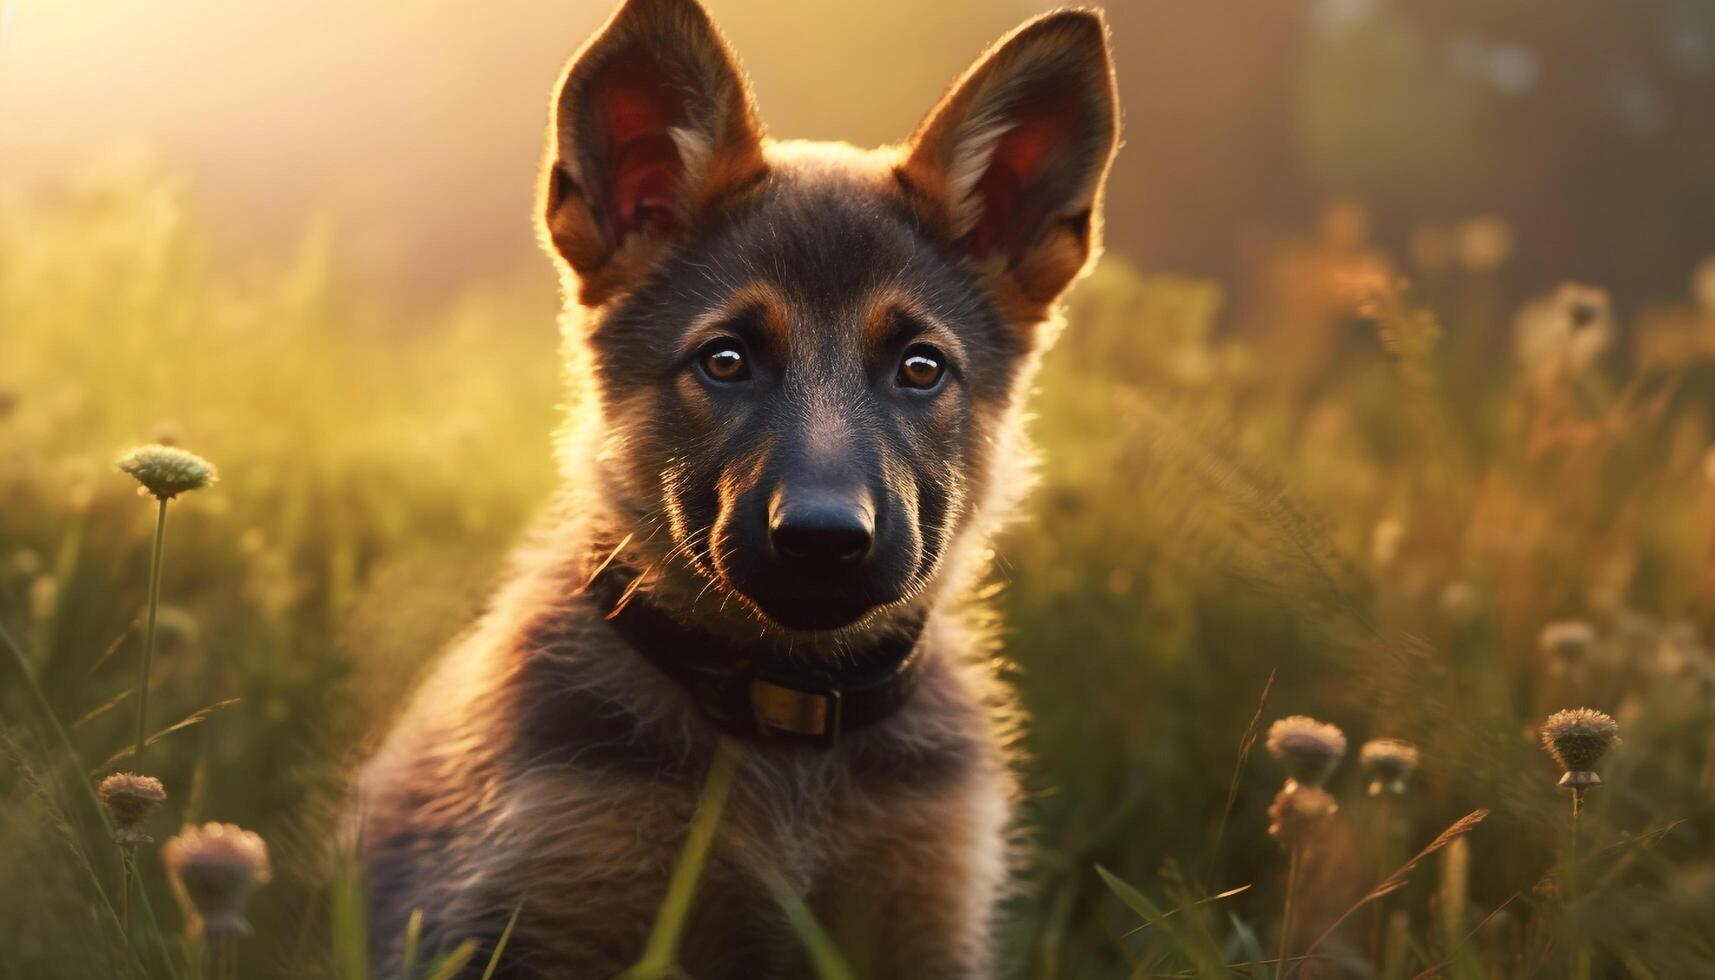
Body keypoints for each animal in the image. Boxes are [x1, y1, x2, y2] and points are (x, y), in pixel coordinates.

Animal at [355, 1, 1118, 974]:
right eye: (725, 361)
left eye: (920, 368)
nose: (824, 539)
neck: (782, 722)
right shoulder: (526, 916)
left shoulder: (925, 921)